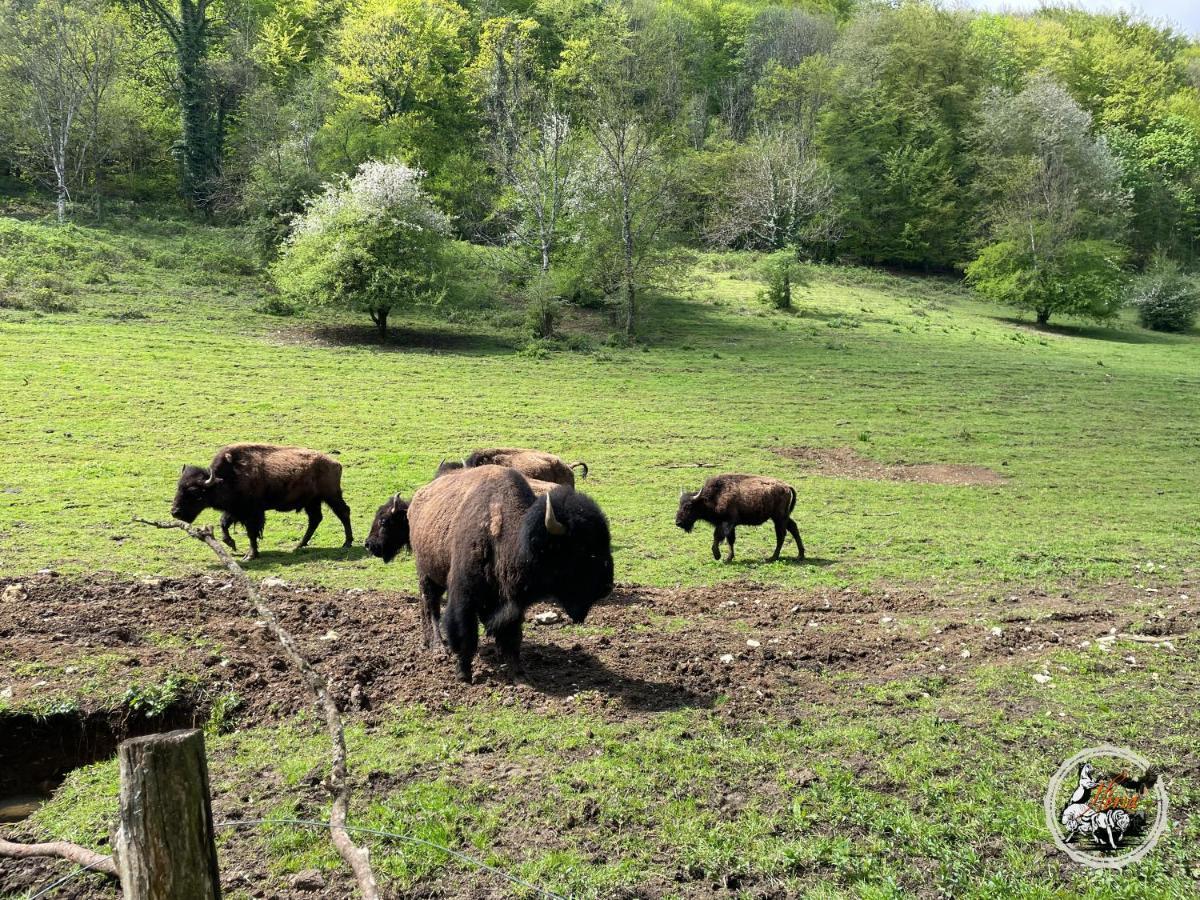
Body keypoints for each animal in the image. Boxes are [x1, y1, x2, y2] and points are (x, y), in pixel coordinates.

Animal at [171, 441, 352, 561]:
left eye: (194, 492)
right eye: (178, 487)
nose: (175, 512)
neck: (226, 477)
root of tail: (336, 463)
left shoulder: (252, 513)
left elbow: (251, 533)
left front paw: (250, 555)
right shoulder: (235, 510)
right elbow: (224, 524)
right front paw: (232, 544)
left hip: (331, 496)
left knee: (343, 513)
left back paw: (347, 543)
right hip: (312, 502)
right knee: (315, 519)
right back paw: (299, 545)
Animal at [362, 465, 609, 681]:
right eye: (582, 549)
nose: (605, 588)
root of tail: (418, 500)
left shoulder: (511, 603)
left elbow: (511, 637)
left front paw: (520, 675)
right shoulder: (464, 597)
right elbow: (466, 635)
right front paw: (463, 674)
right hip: (427, 574)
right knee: (430, 608)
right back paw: (437, 648)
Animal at [676, 472, 806, 564]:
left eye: (688, 506)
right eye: (680, 504)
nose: (678, 522)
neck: (714, 496)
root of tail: (787, 486)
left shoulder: (727, 522)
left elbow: (718, 537)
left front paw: (718, 556)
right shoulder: (730, 525)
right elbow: (730, 540)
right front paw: (728, 558)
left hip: (778, 518)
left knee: (781, 535)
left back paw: (772, 557)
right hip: (783, 517)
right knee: (793, 528)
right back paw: (800, 555)